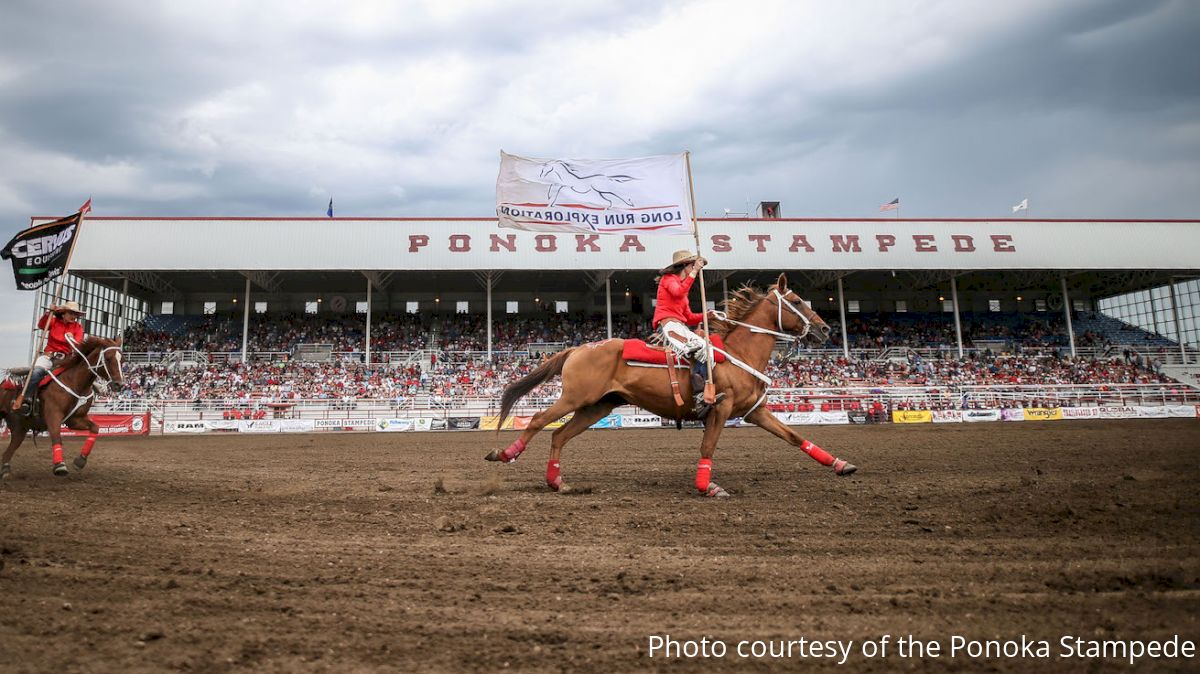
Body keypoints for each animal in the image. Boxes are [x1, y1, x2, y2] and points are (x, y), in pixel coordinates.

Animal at [0, 335, 126, 477]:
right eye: (108, 358)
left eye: (122, 360)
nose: (119, 385)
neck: (74, 382)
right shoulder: (53, 416)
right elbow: (56, 437)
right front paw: (60, 465)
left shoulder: (75, 420)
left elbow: (95, 428)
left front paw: (80, 461)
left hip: (20, 428)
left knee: (8, 451)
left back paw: (5, 470)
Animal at [482, 269, 859, 496]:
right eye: (795, 302)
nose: (825, 328)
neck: (739, 352)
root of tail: (579, 347)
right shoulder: (720, 409)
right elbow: (708, 447)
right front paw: (707, 487)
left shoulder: (755, 411)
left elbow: (793, 436)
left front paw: (841, 464)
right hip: (575, 398)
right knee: (538, 421)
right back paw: (504, 454)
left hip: (596, 407)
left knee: (558, 435)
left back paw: (557, 481)